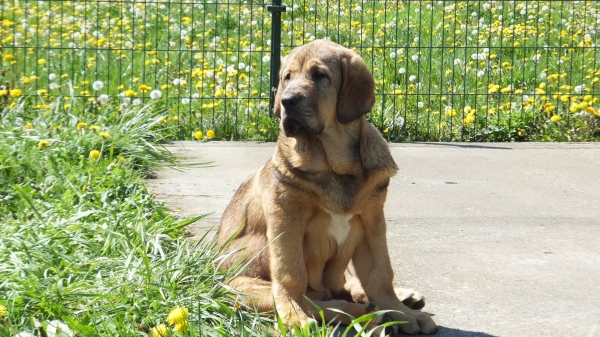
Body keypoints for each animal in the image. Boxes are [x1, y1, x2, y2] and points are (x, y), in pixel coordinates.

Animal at [216, 39, 436, 334]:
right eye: (287, 77)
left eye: (319, 75)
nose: (286, 101)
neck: (332, 165)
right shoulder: (285, 219)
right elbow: (290, 274)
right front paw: (294, 313)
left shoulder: (371, 222)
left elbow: (380, 274)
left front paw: (400, 311)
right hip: (239, 283)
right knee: (311, 298)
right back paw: (359, 313)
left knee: (344, 283)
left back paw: (398, 301)